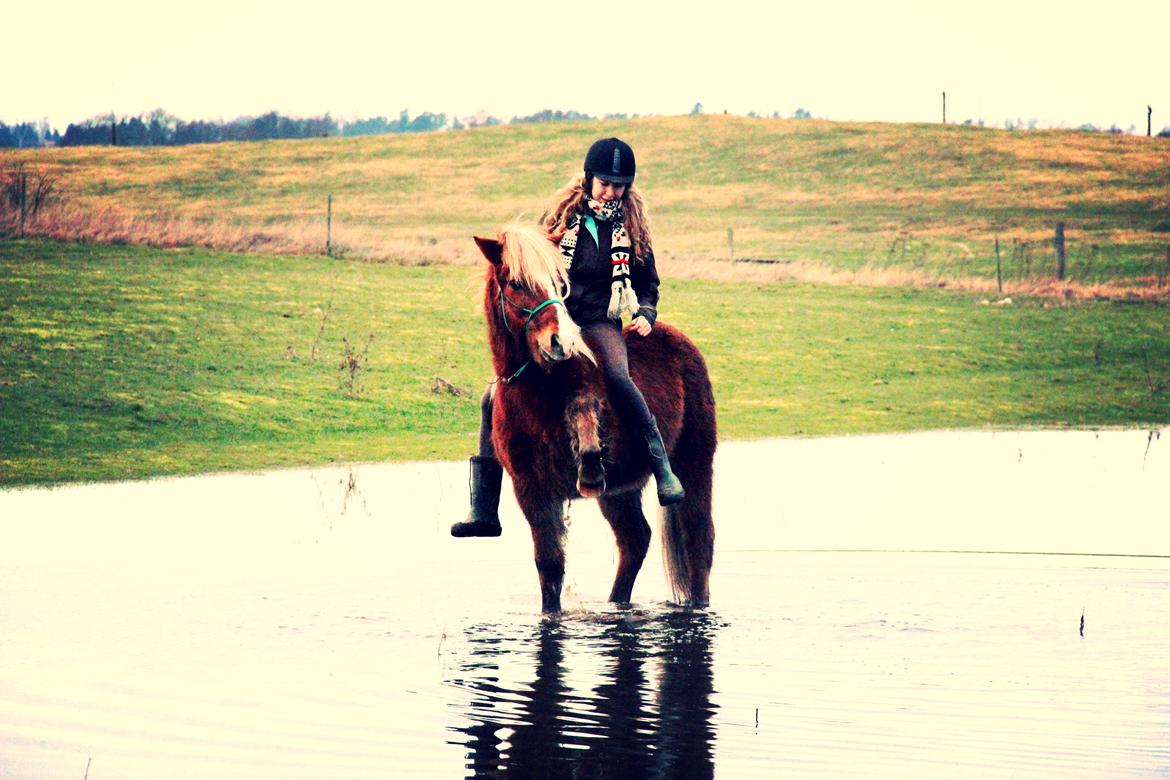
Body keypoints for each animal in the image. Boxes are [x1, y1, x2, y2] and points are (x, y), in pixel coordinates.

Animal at [472, 225, 711, 617]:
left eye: (558, 283)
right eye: (515, 283)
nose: (561, 342)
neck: (538, 392)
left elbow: (586, 420)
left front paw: (588, 465)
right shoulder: (531, 489)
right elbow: (550, 566)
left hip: (694, 464)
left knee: (698, 543)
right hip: (621, 493)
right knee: (635, 540)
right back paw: (616, 605)